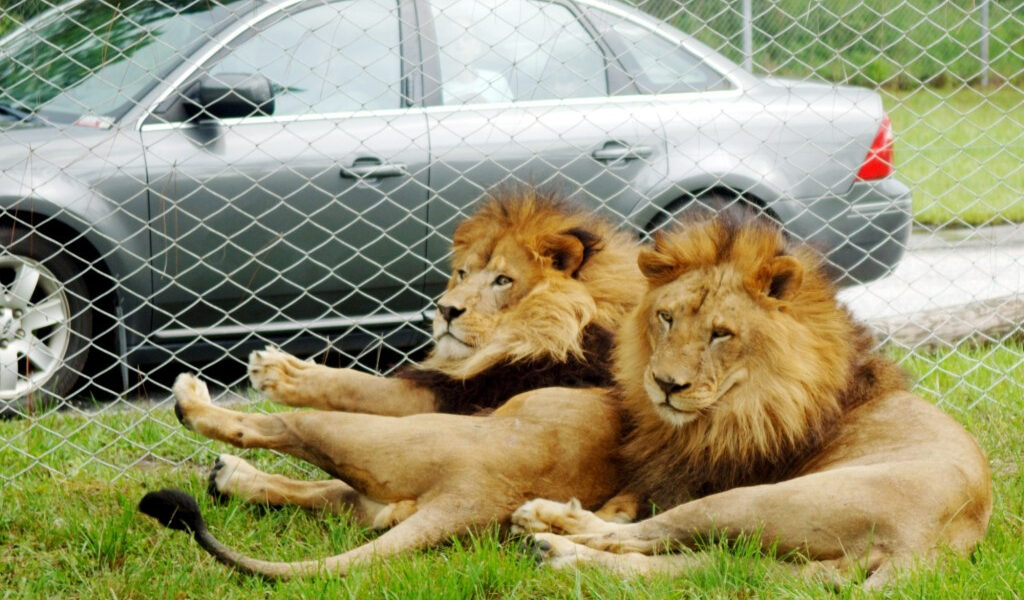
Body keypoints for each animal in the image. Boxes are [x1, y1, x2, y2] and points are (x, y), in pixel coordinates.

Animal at [205, 188, 643, 515]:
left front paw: (280, 372)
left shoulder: (461, 393)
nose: (446, 310)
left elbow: (359, 384)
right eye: (463, 273)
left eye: (503, 280)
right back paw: (232, 479)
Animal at [510, 213, 993, 588]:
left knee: (639, 536)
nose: (666, 384)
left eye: (721, 334)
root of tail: (927, 550)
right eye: (666, 317)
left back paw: (551, 533)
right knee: (699, 565)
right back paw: (559, 552)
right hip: (790, 568)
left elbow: (631, 515)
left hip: (755, 500)